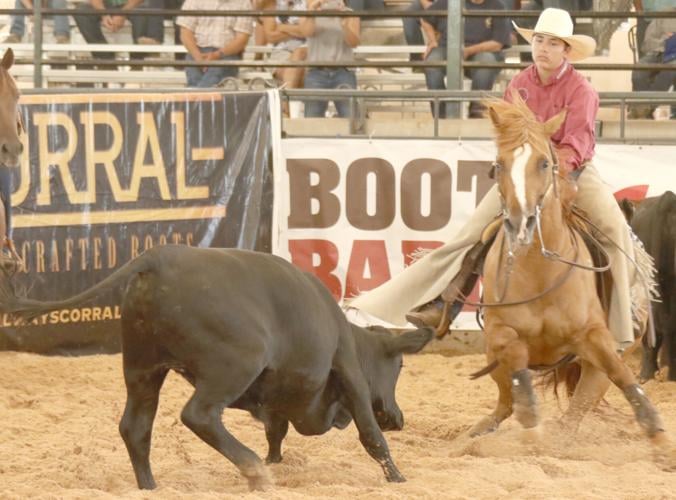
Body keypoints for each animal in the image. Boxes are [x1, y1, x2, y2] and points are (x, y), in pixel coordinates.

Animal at [0, 246, 430, 488]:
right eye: (400, 366)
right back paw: (253, 472)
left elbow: (275, 429)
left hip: (142, 366)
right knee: (199, 415)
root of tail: (158, 257)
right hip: (236, 362)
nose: (399, 418)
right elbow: (370, 433)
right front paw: (397, 477)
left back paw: (151, 486)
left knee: (135, 427)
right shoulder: (349, 371)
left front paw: (276, 460)